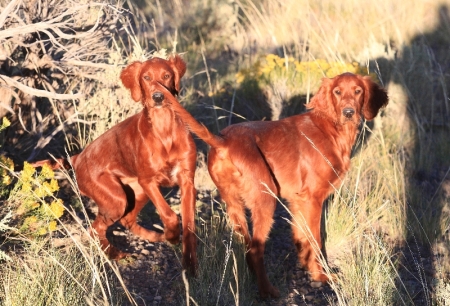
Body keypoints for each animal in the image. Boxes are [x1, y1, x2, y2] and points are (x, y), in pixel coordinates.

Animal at [32, 55, 198, 274]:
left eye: (166, 76)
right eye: (146, 77)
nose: (158, 97)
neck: (164, 129)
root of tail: (77, 158)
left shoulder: (186, 181)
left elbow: (188, 225)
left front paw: (189, 262)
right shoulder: (148, 181)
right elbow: (169, 215)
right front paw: (171, 235)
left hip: (136, 192)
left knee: (126, 220)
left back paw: (153, 236)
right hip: (117, 199)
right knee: (95, 229)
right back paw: (114, 254)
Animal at [158, 71, 386, 296]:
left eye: (358, 91)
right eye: (337, 92)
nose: (349, 112)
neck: (331, 128)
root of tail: (223, 141)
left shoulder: (298, 200)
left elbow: (301, 236)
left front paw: (306, 266)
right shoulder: (313, 199)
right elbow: (315, 240)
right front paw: (320, 276)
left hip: (233, 202)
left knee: (247, 247)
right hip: (266, 198)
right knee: (256, 249)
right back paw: (268, 291)